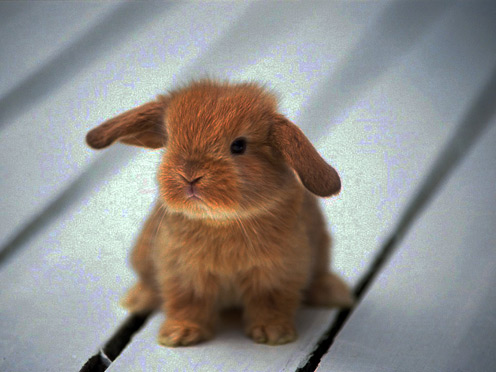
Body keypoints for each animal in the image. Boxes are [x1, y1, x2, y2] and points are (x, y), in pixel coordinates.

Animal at [85, 80, 352, 348]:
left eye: (239, 145)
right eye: (170, 141)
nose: (190, 176)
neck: (221, 221)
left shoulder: (277, 272)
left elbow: (271, 303)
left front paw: (274, 333)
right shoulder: (182, 272)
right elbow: (186, 303)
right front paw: (179, 335)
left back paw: (334, 293)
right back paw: (136, 299)